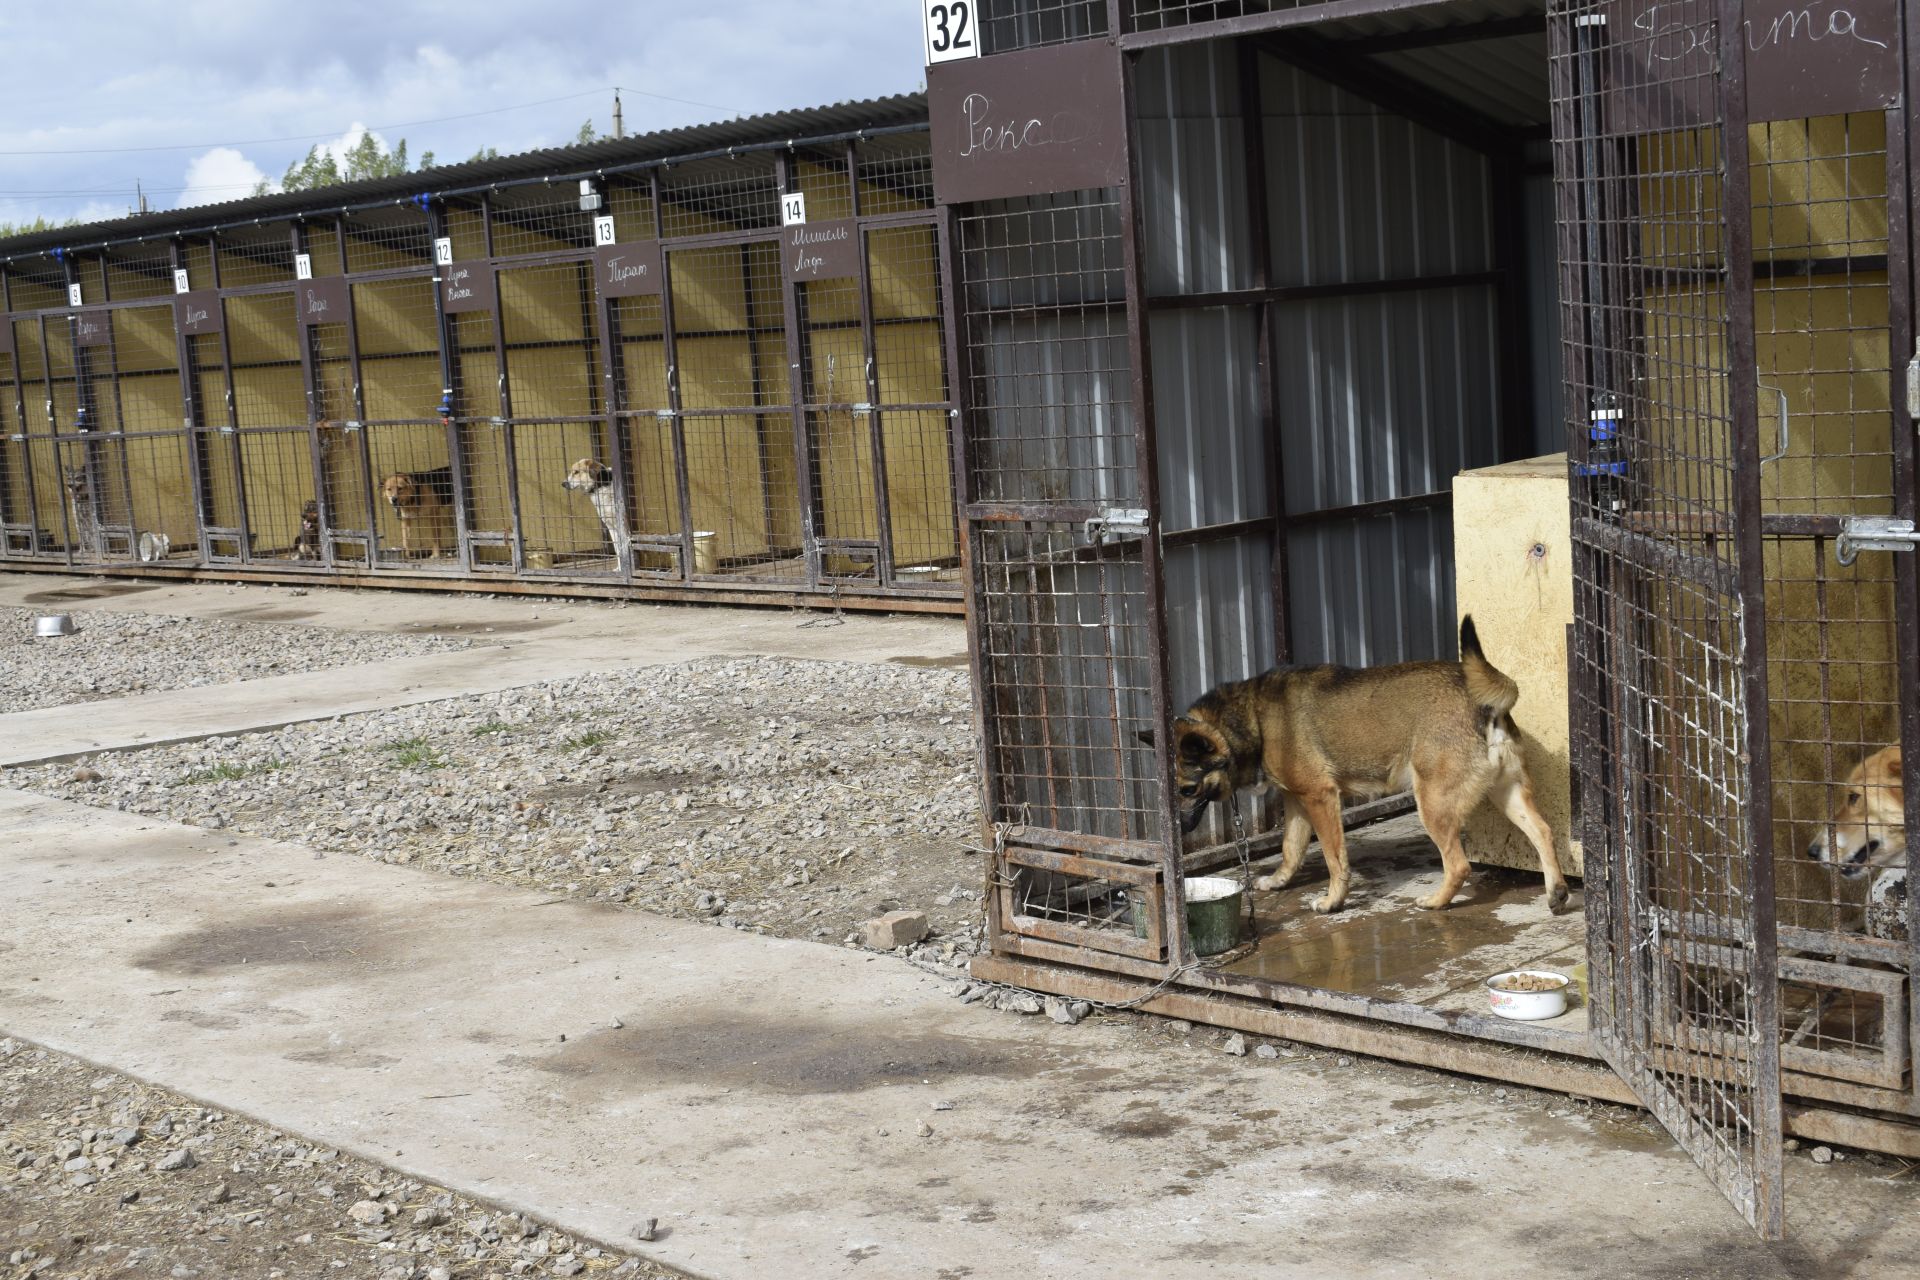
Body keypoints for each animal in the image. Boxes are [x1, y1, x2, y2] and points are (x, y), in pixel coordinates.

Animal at [1144, 614, 1566, 917]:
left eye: (1187, 789)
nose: (1175, 832)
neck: (1253, 717)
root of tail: (1485, 705)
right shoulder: (1297, 802)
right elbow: (1290, 850)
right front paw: (1278, 882)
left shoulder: (1321, 799)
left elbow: (1334, 859)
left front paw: (1333, 902)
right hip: (1506, 794)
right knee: (1543, 832)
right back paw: (1557, 892)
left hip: (1432, 803)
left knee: (1459, 865)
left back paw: (1436, 903)